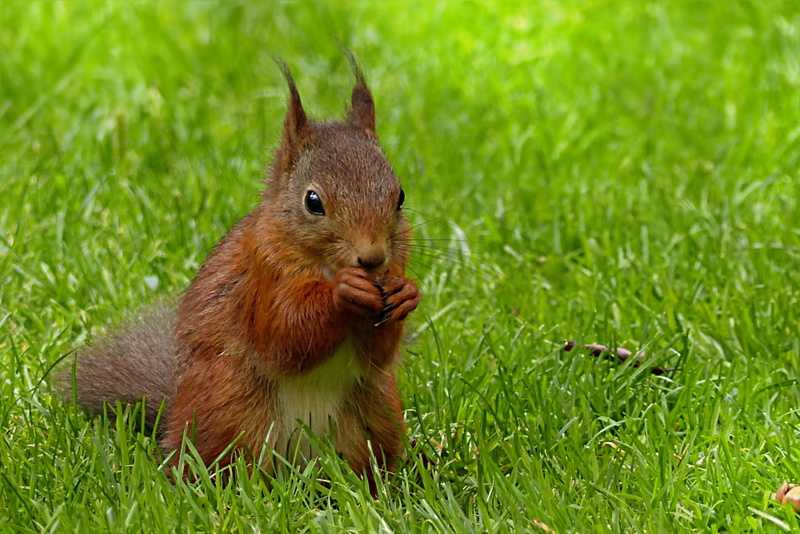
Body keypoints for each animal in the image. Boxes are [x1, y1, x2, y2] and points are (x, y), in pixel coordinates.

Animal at [56, 58, 421, 486]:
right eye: (313, 201)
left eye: (400, 196)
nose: (372, 258)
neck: (322, 266)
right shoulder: (259, 275)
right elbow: (283, 335)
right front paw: (343, 292)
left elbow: (377, 354)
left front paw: (406, 293)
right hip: (231, 409)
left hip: (373, 414)